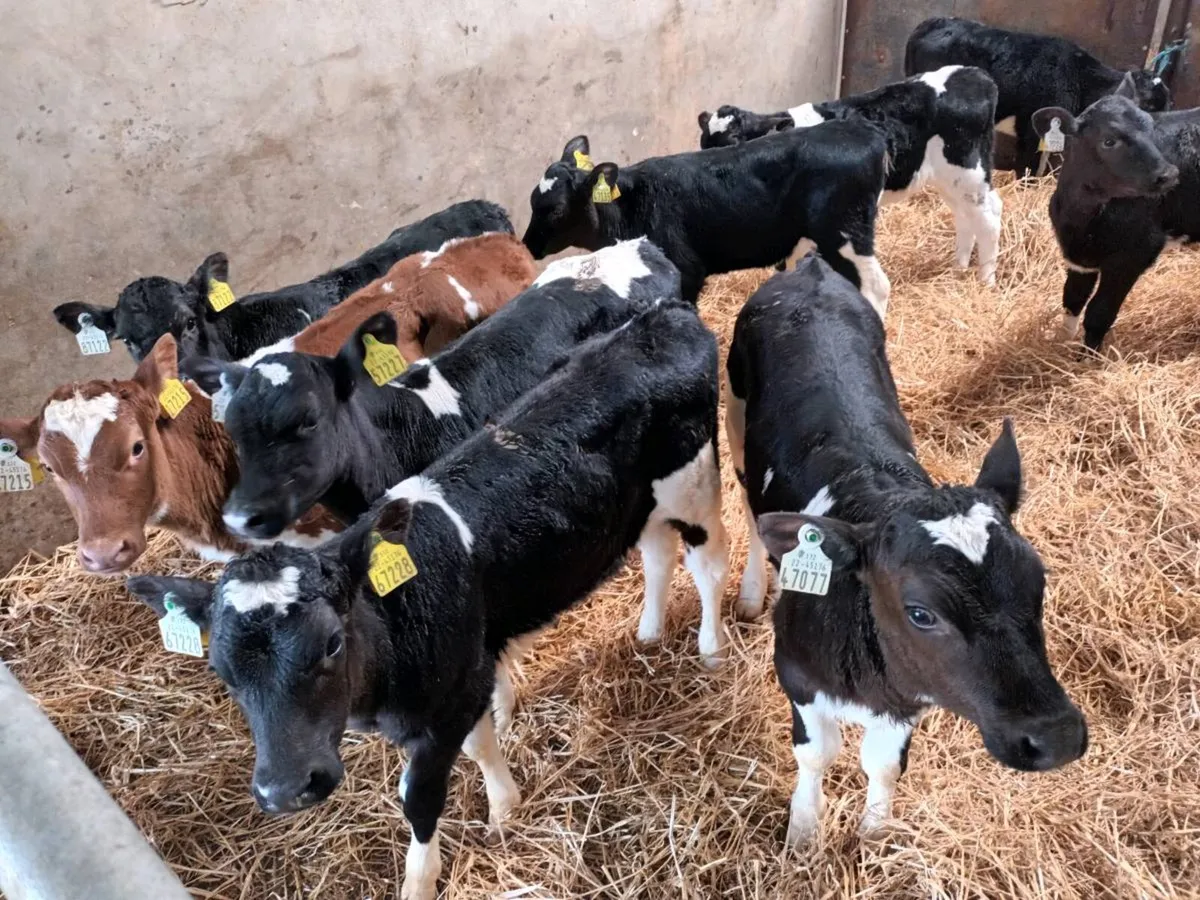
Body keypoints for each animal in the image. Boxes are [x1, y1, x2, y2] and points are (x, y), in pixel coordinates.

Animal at [127, 301, 730, 899]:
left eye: (331, 643)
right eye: (221, 670)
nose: (286, 790)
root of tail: (665, 315)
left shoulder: (451, 700)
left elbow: (419, 798)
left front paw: (423, 876)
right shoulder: (464, 680)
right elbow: (481, 745)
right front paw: (505, 805)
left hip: (694, 483)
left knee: (707, 564)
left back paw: (712, 647)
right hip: (642, 503)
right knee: (656, 551)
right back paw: (649, 631)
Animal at [522, 128, 891, 315]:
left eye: (555, 210)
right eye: (531, 200)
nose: (527, 247)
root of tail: (866, 135)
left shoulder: (687, 271)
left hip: (846, 232)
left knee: (876, 286)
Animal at [698, 66, 1002, 284]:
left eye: (734, 139)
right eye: (704, 143)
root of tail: (976, 74)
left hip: (967, 170)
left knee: (989, 217)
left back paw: (985, 281)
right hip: (950, 178)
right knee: (967, 216)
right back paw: (959, 268)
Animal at [724, 257, 1087, 845]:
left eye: (1039, 583)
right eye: (920, 613)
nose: (1055, 736)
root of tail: (810, 268)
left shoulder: (909, 694)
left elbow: (884, 764)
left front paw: (874, 831)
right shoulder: (796, 675)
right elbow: (817, 755)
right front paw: (803, 830)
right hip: (735, 423)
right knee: (750, 513)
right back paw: (754, 589)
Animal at [1031, 75, 1191, 350]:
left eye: (1151, 129)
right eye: (1108, 141)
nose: (1168, 174)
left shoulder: (1133, 256)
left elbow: (1099, 314)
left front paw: (1085, 358)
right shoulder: (1078, 255)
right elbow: (1072, 299)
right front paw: (1062, 342)